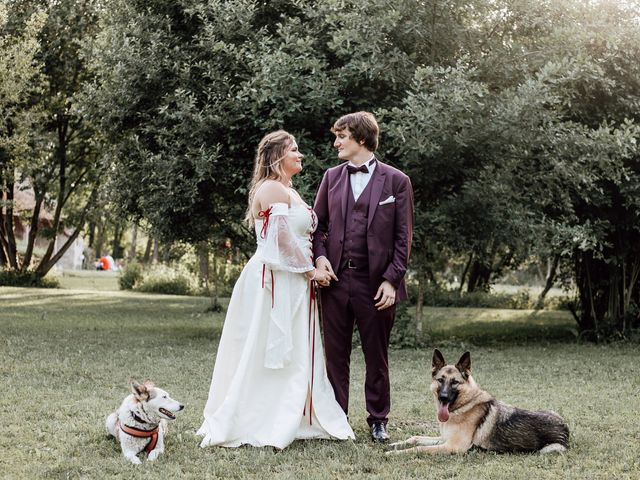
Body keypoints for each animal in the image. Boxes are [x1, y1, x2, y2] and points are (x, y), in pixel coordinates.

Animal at [388, 348, 568, 454]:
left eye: (455, 382)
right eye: (440, 380)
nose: (443, 397)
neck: (464, 406)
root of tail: (565, 427)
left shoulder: (453, 446)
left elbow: (419, 448)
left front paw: (395, 453)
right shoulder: (445, 439)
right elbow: (416, 438)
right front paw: (394, 445)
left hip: (550, 448)